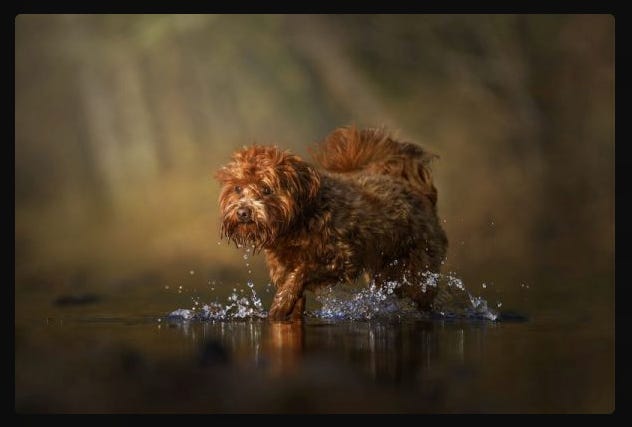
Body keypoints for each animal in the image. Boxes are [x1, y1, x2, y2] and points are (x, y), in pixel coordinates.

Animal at [215, 127, 446, 320]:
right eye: (237, 188)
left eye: (266, 189)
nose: (243, 212)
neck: (299, 222)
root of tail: (415, 190)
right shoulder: (282, 269)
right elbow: (294, 294)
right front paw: (282, 310)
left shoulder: (342, 258)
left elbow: (302, 271)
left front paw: (280, 304)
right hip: (386, 271)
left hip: (417, 270)